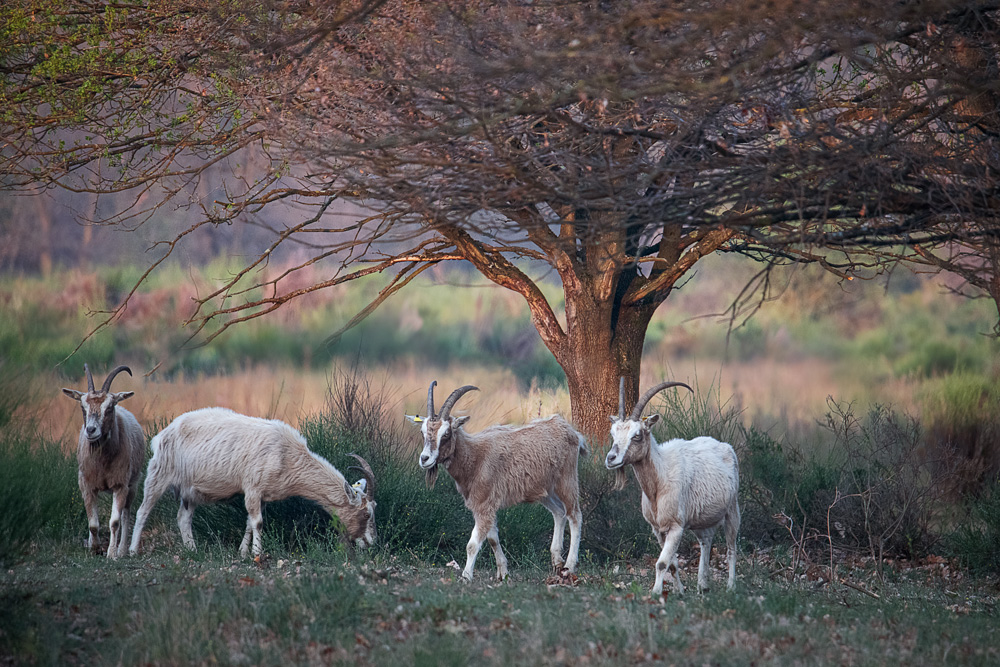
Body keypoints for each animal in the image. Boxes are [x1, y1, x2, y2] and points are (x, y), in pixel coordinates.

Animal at [61, 366, 146, 560]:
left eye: (109, 407)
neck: (103, 462)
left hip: (133, 485)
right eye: (82, 406)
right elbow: (93, 523)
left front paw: (112, 553)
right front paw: (95, 548)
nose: (91, 430)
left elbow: (115, 521)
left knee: (126, 514)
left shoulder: (120, 485)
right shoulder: (87, 485)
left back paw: (122, 550)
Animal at [126, 408, 376, 560]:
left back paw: (192, 550)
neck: (287, 454)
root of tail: (162, 434)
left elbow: (249, 523)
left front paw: (243, 552)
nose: (371, 543)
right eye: (366, 514)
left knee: (183, 517)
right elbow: (258, 523)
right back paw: (131, 551)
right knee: (142, 510)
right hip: (159, 473)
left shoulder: (262, 495)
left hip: (190, 490)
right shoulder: (252, 487)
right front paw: (257, 553)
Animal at [410, 384, 588, 580]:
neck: (475, 457)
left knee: (575, 515)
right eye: (423, 432)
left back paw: (569, 566)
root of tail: (571, 432)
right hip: (545, 490)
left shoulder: (484, 505)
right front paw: (503, 573)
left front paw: (466, 576)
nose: (425, 459)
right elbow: (492, 538)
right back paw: (557, 562)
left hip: (566, 480)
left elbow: (473, 544)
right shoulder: (486, 506)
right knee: (559, 512)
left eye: (446, 433)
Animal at [604, 378, 740, 596]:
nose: (611, 459)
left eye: (637, 435)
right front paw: (680, 591)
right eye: (613, 433)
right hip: (703, 519)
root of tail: (725, 446)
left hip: (732, 509)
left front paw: (656, 593)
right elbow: (673, 563)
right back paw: (702, 585)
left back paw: (730, 586)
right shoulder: (658, 529)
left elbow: (662, 563)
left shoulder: (676, 527)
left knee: (731, 548)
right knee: (706, 542)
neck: (660, 480)